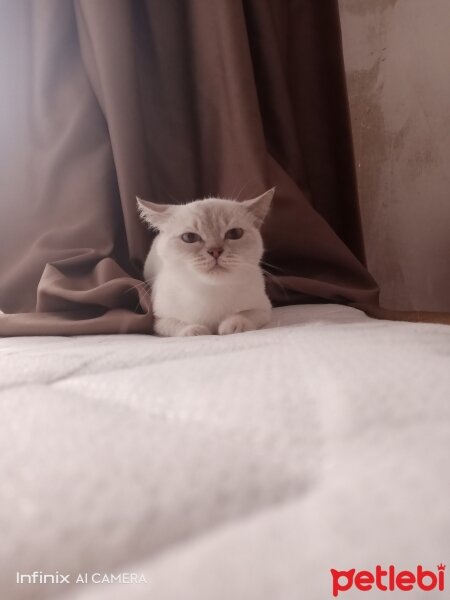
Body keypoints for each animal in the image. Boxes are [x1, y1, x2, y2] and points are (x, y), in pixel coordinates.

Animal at [136, 189, 274, 338]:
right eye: (189, 237)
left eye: (235, 233)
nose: (215, 251)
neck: (211, 291)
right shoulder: (160, 320)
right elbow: (179, 325)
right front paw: (196, 331)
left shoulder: (263, 308)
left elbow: (243, 315)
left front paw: (232, 326)